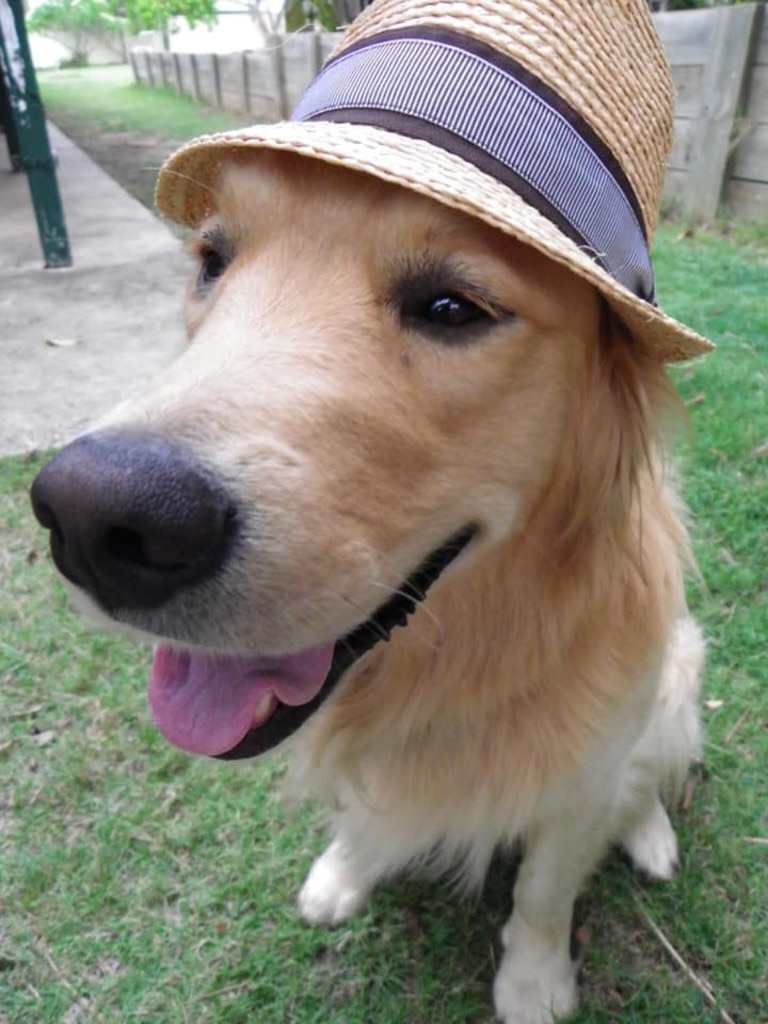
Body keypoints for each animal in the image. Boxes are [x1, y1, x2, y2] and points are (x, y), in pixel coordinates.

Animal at [31, 153, 704, 1024]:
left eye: (452, 307)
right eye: (213, 261)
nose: (89, 520)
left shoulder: (584, 779)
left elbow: (543, 892)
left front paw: (533, 984)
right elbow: (363, 814)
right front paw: (344, 874)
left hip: (680, 670)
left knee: (649, 772)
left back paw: (651, 835)